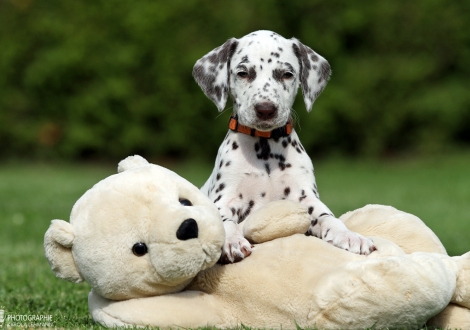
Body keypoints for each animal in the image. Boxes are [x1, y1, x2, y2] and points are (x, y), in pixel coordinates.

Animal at [193, 31, 376, 262]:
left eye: (287, 74)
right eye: (243, 73)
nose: (265, 109)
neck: (265, 148)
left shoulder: (306, 198)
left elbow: (328, 217)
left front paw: (349, 235)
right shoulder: (225, 199)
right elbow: (225, 222)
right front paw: (232, 241)